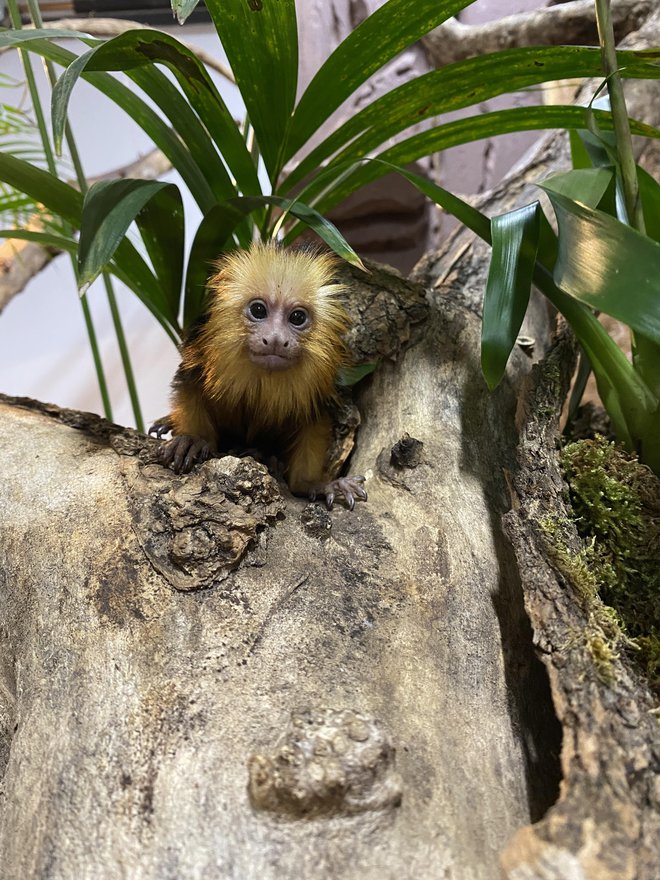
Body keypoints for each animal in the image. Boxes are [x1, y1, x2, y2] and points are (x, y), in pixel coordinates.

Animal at [149, 244, 366, 512]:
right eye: (258, 310)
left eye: (297, 317)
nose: (275, 339)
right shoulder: (199, 357)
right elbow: (189, 390)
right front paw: (193, 440)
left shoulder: (319, 389)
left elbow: (313, 427)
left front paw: (316, 484)